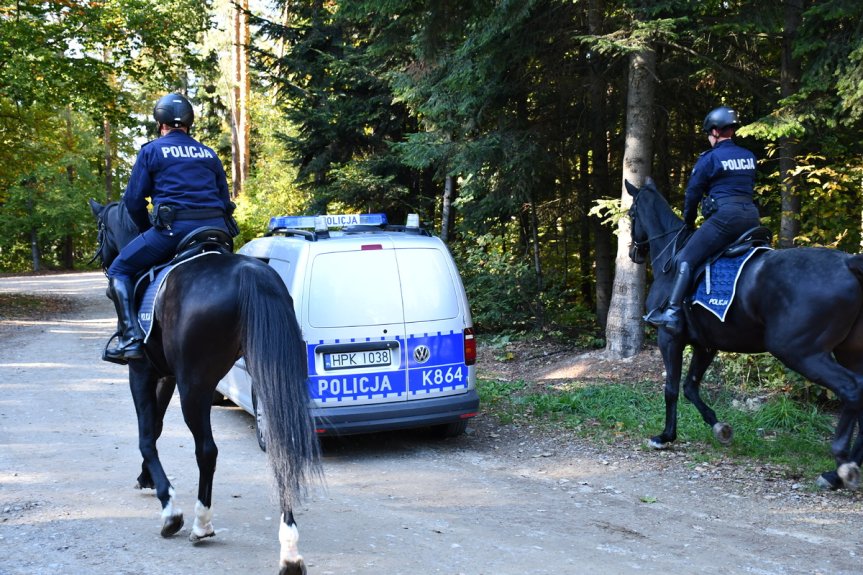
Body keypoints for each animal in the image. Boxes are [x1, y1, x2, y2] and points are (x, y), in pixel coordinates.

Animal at [90, 199, 320, 575]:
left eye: (100, 230)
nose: (104, 261)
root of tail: (251, 274)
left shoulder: (141, 371)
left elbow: (146, 435)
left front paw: (169, 506)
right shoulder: (166, 375)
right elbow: (156, 427)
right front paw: (147, 478)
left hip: (195, 387)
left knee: (207, 451)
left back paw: (201, 523)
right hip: (265, 375)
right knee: (280, 443)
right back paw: (289, 550)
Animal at [624, 180, 863, 490]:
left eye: (631, 214)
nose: (634, 253)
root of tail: (848, 264)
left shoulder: (670, 338)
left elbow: (672, 389)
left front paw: (665, 436)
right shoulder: (705, 345)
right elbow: (690, 387)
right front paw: (719, 427)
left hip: (801, 352)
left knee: (851, 389)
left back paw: (842, 466)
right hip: (849, 352)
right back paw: (842, 471)